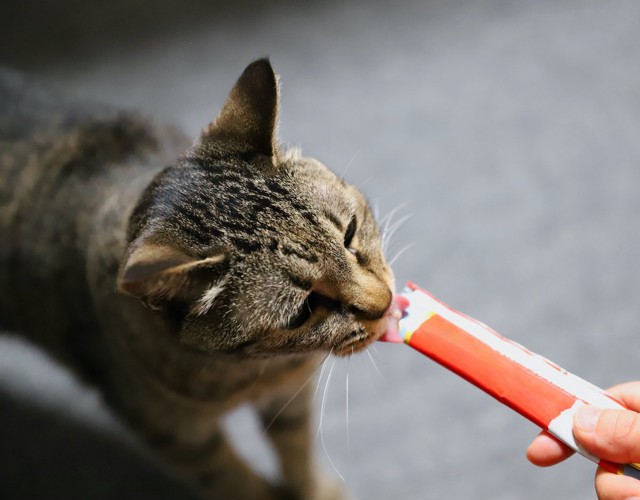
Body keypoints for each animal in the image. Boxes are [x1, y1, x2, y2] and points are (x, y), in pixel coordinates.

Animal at [0, 59, 396, 500]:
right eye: (303, 311)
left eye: (350, 232)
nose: (385, 303)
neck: (255, 373)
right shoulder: (178, 438)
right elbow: (233, 480)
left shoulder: (289, 398)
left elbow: (296, 453)